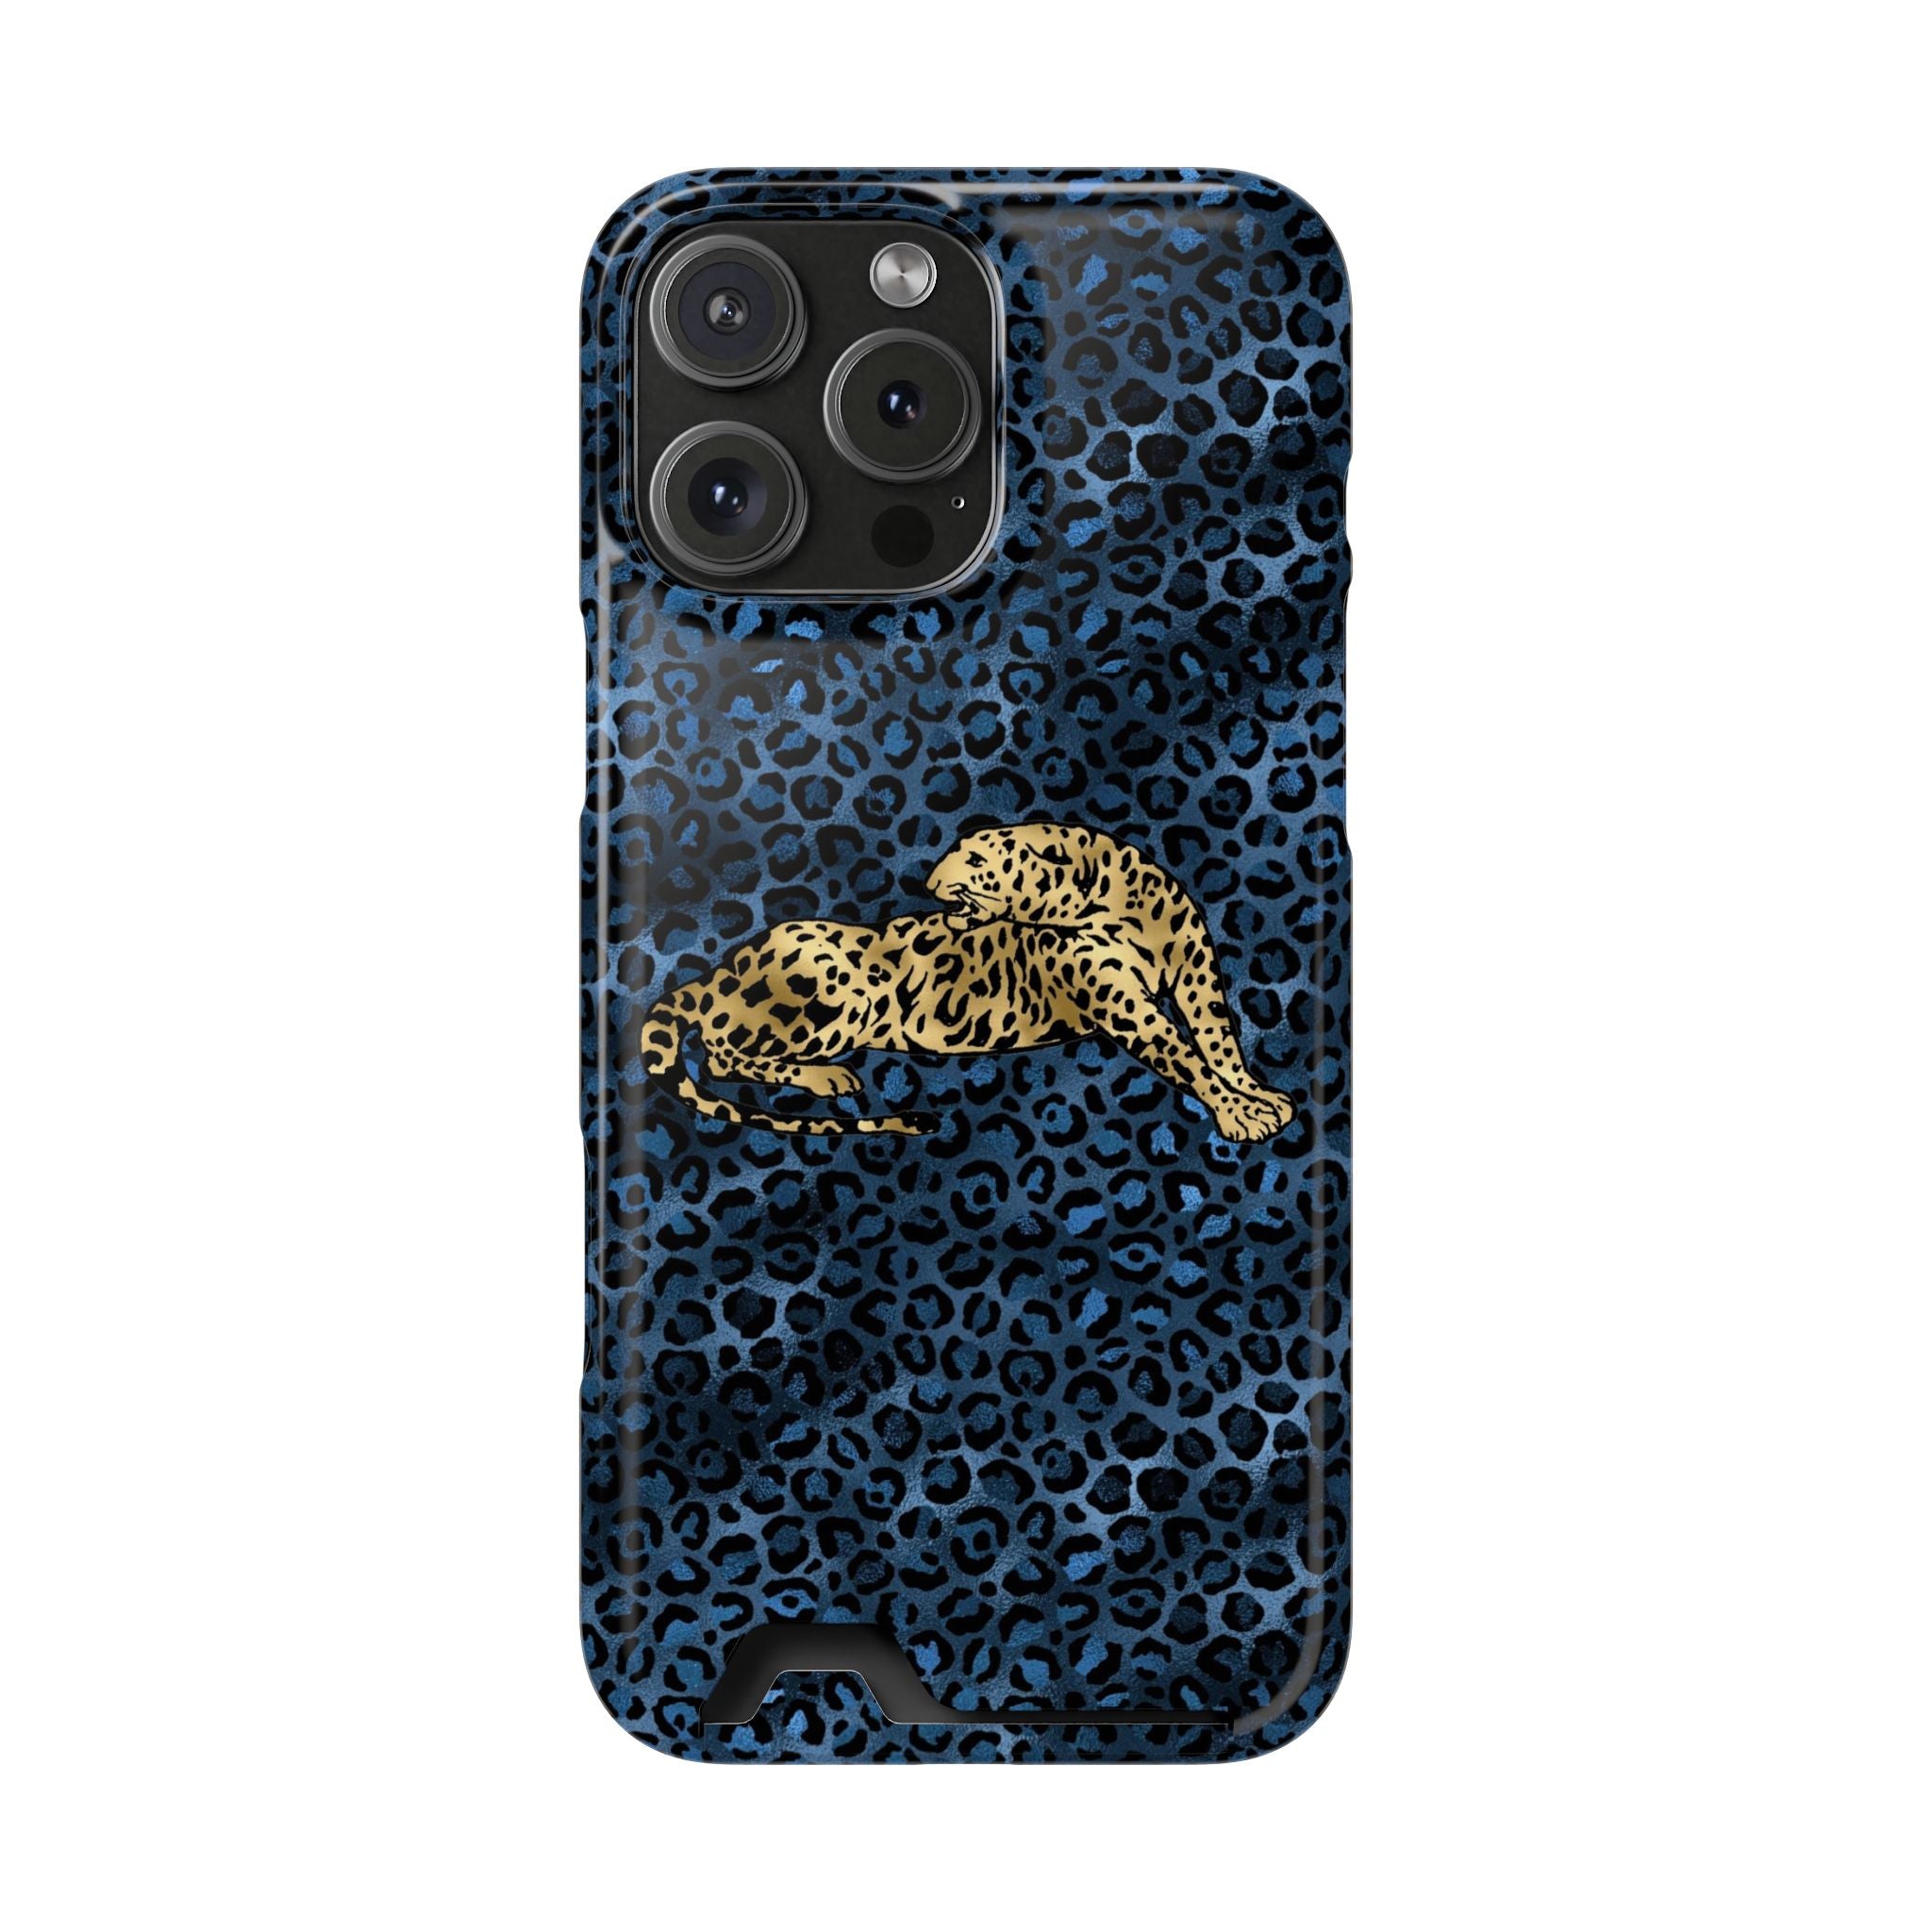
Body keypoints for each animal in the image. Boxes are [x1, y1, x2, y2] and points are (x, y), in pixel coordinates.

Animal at [637, 823, 1296, 1143]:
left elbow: (1219, 1040)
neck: (1120, 905)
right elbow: (1183, 1055)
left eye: (977, 861)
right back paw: (828, 1077)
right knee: (721, 1054)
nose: (928, 881)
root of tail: (725, 967)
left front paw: (1256, 1094)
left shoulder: (1196, 972)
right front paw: (1240, 1115)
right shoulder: (1125, 1003)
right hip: (841, 991)